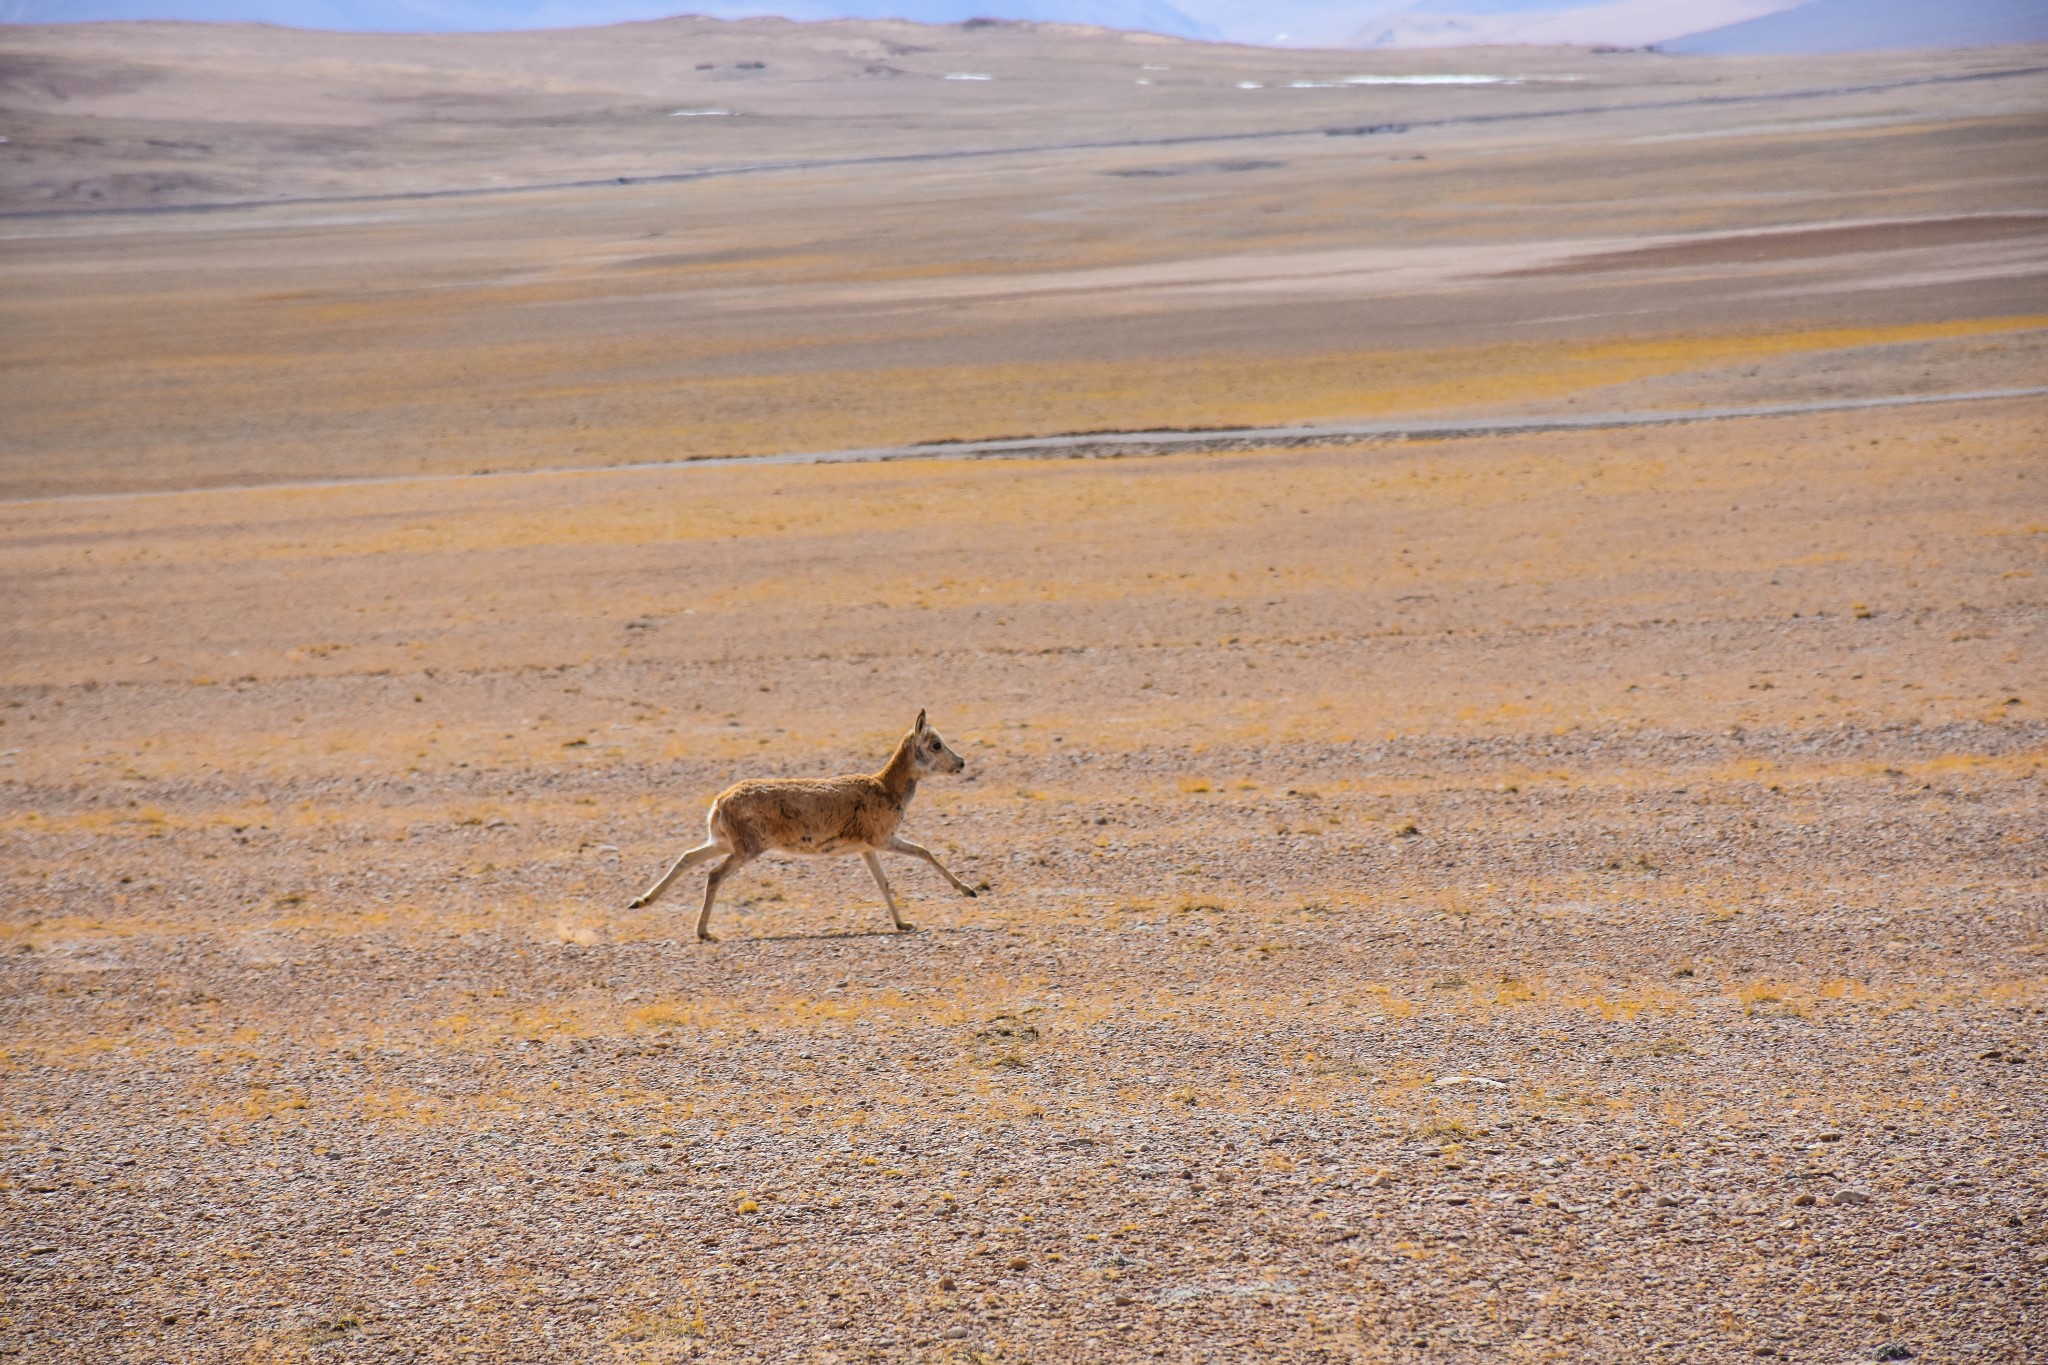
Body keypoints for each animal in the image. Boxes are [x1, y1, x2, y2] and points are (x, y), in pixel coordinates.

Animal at [626, 716, 978, 941]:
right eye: (935, 745)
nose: (961, 763)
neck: (885, 786)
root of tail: (720, 802)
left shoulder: (867, 850)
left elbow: (883, 883)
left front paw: (903, 924)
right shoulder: (882, 840)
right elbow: (924, 852)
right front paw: (969, 891)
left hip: (722, 843)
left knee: (686, 857)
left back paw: (641, 902)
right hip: (746, 850)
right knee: (713, 875)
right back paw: (704, 932)